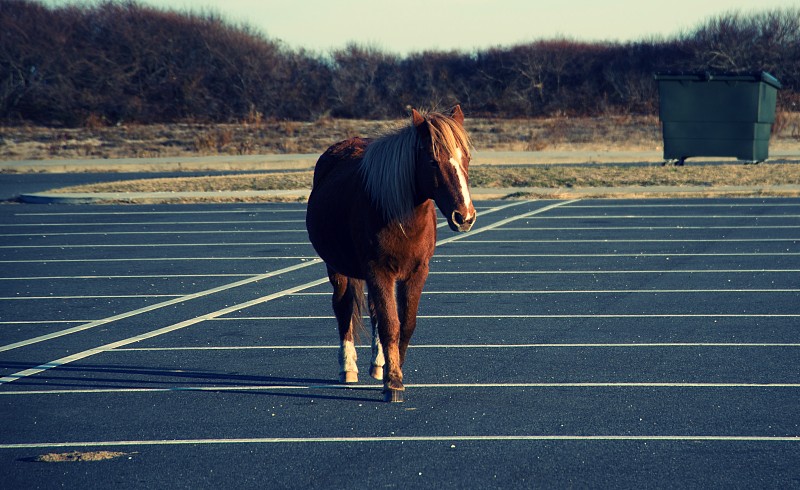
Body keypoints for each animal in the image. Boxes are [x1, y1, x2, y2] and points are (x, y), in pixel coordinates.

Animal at [304, 106, 472, 402]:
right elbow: (390, 324)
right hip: (337, 268)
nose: (464, 216)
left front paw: (393, 369)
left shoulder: (416, 272)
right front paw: (393, 382)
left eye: (468, 158)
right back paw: (348, 367)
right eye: (432, 161)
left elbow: (405, 324)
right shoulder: (378, 271)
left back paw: (378, 363)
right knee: (343, 308)